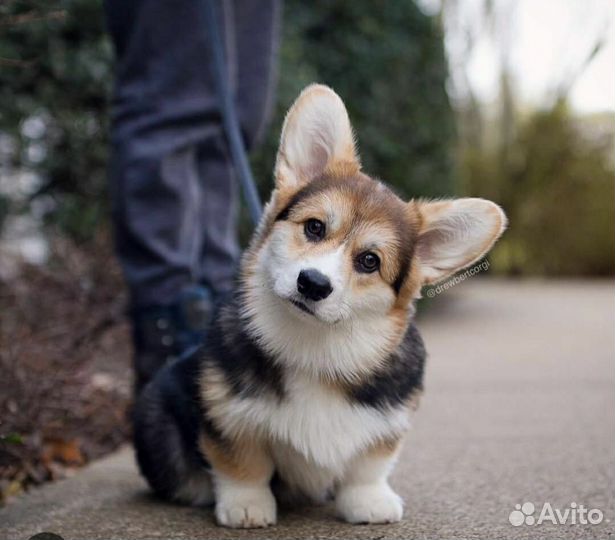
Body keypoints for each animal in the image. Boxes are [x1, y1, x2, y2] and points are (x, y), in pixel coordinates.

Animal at [132, 83, 508, 528]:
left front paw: (370, 501)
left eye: (369, 261)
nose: (312, 283)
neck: (316, 348)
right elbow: (243, 462)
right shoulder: (228, 414)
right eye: (314, 227)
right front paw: (246, 506)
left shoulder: (387, 423)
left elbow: (369, 465)